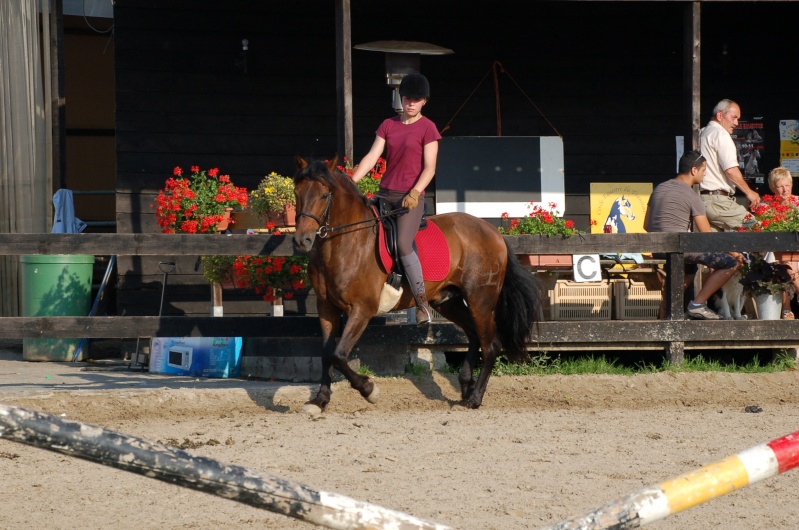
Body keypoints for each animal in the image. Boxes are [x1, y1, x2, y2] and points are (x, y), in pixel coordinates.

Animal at [294, 155, 544, 410]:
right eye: (297, 192)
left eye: (324, 195)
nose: (302, 241)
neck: (346, 242)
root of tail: (494, 232)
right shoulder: (326, 308)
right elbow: (327, 354)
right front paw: (320, 400)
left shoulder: (362, 309)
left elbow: (339, 355)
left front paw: (369, 390)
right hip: (448, 301)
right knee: (473, 335)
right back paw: (466, 386)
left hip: (480, 301)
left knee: (491, 344)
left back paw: (474, 398)